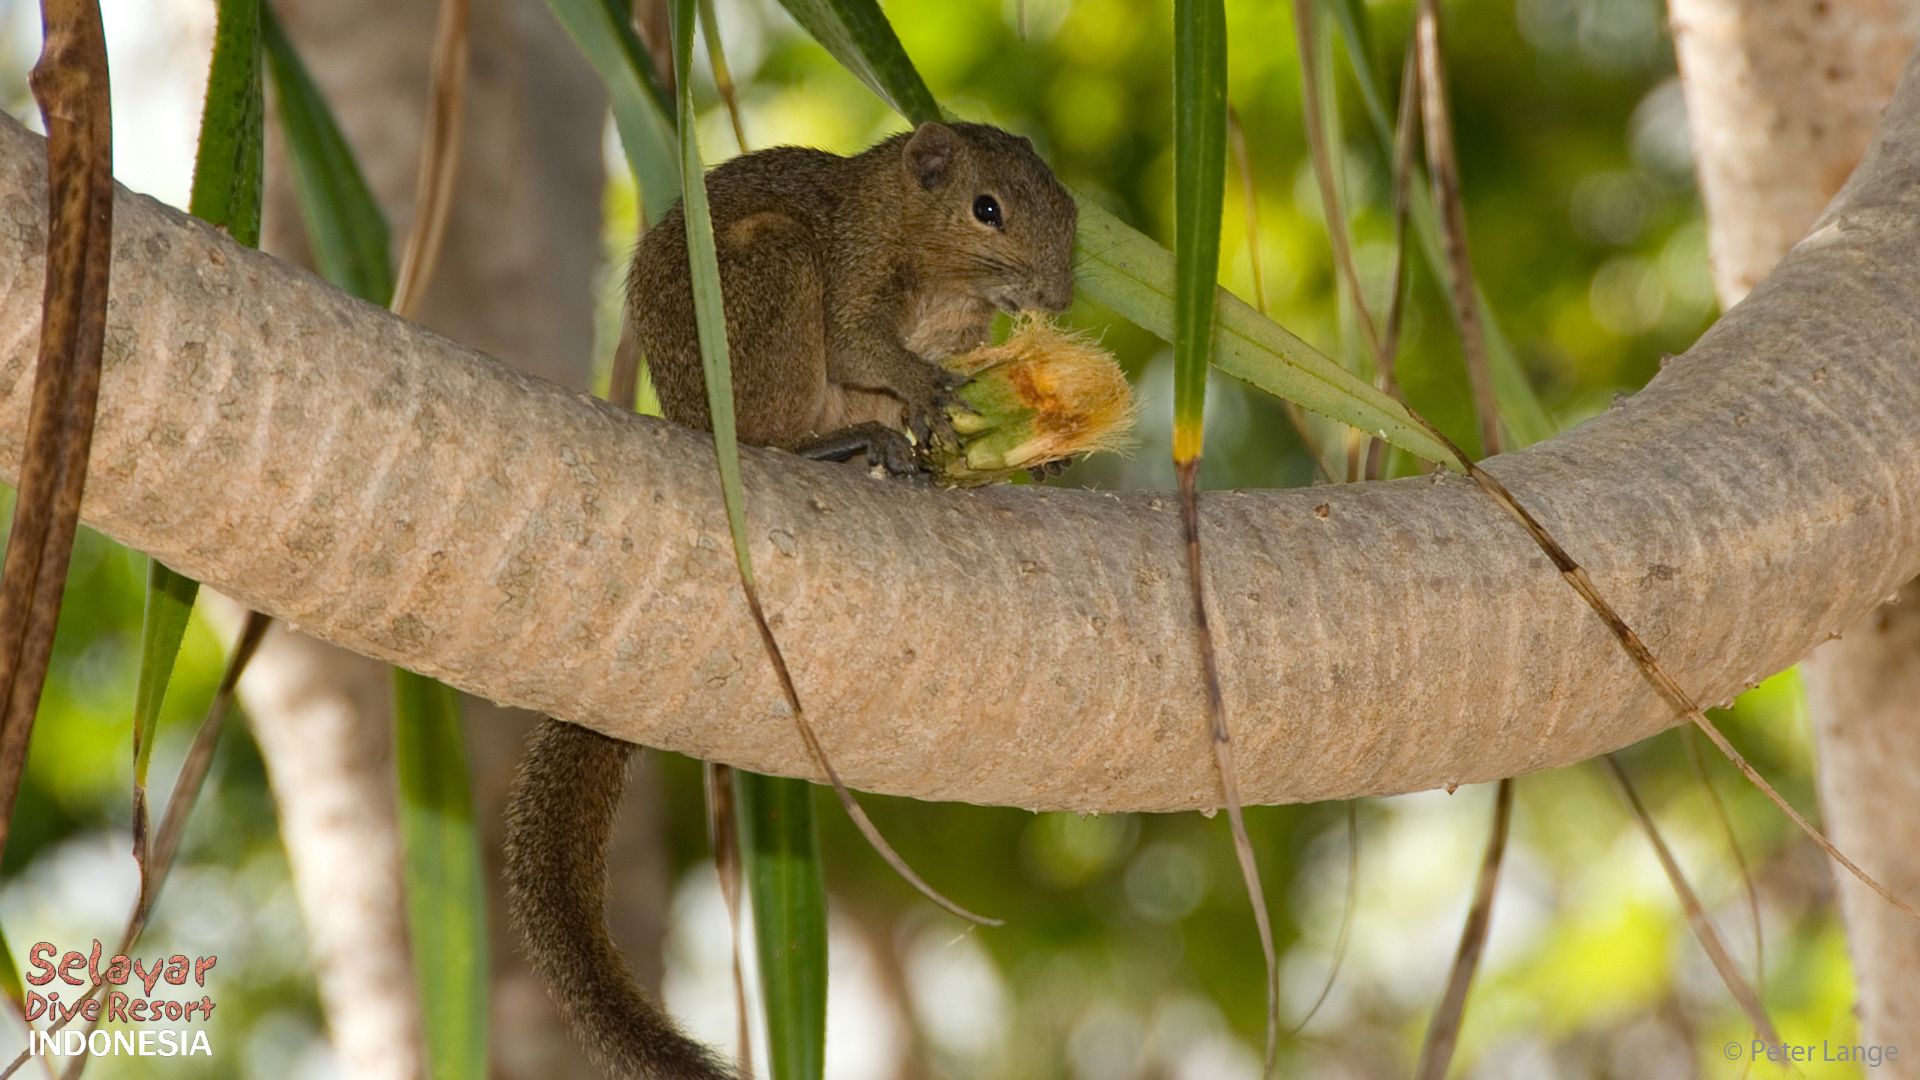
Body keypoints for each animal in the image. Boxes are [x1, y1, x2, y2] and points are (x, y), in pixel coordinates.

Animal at [503, 119, 1082, 1076]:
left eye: (1070, 211)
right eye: (987, 210)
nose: (1059, 295)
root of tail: (688, 420)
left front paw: (1036, 442)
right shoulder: (852, 269)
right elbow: (860, 345)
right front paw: (929, 393)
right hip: (766, 280)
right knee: (770, 432)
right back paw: (841, 445)